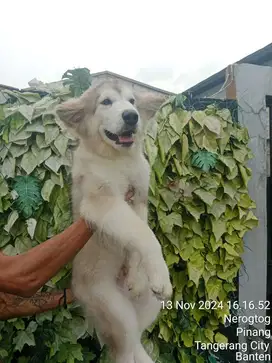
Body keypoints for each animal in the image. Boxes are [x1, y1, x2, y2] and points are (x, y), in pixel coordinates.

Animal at [56, 81, 173, 363]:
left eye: (132, 101)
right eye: (106, 102)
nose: (132, 116)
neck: (118, 160)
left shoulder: (139, 200)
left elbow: (138, 238)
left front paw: (136, 277)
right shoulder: (104, 203)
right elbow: (145, 236)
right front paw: (159, 272)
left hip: (150, 304)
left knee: (138, 338)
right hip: (113, 309)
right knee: (125, 347)